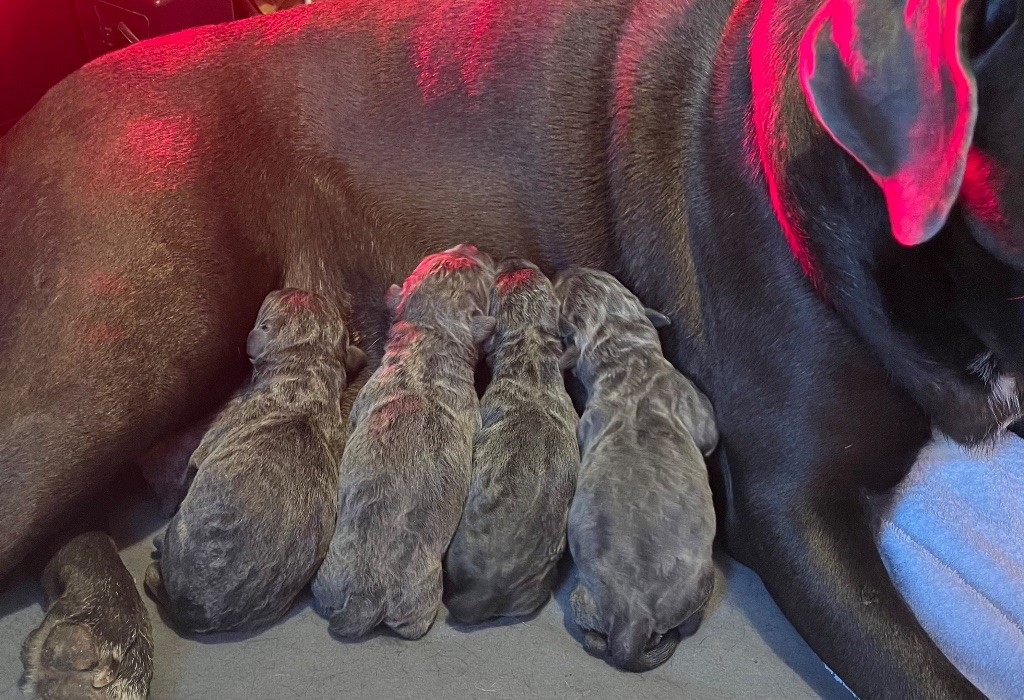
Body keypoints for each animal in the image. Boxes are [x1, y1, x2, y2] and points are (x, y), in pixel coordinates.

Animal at [143, 286, 368, 630]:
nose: (292, 287)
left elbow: (191, 465)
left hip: (179, 532)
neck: (307, 375)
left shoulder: (211, 439)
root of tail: (196, 613)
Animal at [313, 244, 497, 638]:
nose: (472, 246)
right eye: (475, 266)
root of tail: (366, 594)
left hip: (329, 578)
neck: (428, 338)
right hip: (419, 597)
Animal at [557, 268, 716, 671]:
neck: (624, 357)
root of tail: (633, 620)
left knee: (593, 636)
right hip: (698, 583)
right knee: (689, 623)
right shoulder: (699, 412)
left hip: (584, 600)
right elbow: (709, 437)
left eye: (597, 274)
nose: (569, 270)